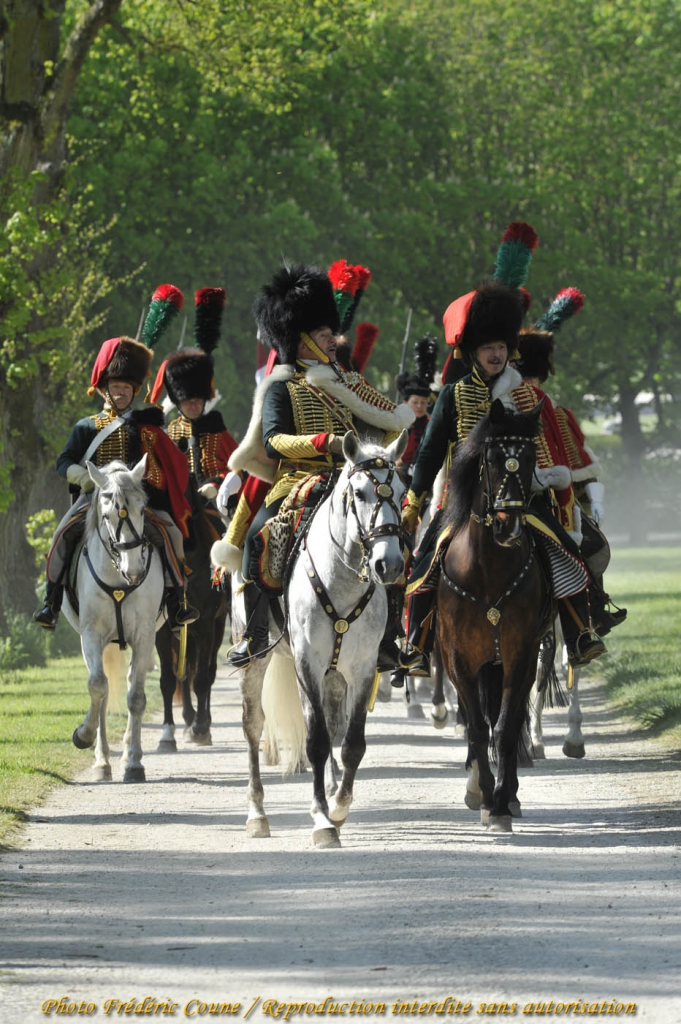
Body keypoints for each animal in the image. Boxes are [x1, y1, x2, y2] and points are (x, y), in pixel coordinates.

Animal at [63, 458, 164, 782]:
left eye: (142, 510)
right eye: (106, 515)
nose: (134, 571)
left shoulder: (145, 635)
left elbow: (136, 697)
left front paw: (134, 763)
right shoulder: (91, 635)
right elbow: (97, 686)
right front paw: (84, 735)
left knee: (131, 684)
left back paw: (128, 752)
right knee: (104, 689)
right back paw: (103, 760)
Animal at [224, 430, 403, 847]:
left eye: (401, 492)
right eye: (360, 494)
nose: (389, 564)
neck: (342, 578)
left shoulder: (362, 667)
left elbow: (352, 743)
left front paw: (338, 807)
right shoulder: (307, 662)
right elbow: (317, 741)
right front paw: (322, 819)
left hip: (334, 674)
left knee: (333, 723)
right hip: (256, 659)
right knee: (253, 725)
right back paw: (257, 814)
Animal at [436, 397, 552, 831]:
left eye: (530, 456)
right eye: (492, 458)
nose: (508, 526)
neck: (487, 571)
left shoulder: (520, 654)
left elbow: (503, 727)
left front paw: (501, 802)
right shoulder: (458, 659)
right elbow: (476, 727)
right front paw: (484, 794)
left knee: (511, 719)